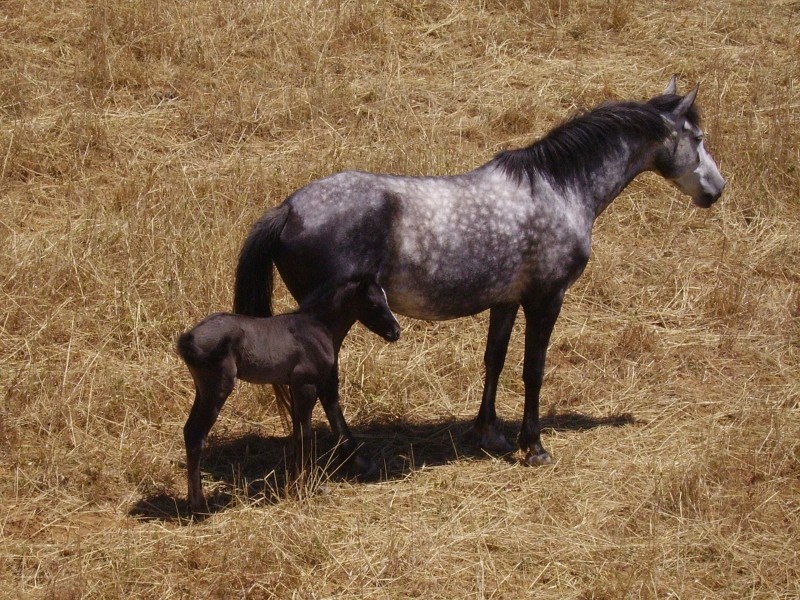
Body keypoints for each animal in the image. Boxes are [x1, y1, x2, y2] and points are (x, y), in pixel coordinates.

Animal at [177, 276, 396, 510]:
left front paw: (296, 485)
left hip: (202, 391)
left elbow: (298, 433)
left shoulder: (294, 386)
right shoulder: (306, 385)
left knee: (188, 430)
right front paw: (302, 488)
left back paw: (191, 501)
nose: (396, 331)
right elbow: (304, 435)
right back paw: (199, 505)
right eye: (373, 303)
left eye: (386, 299)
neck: (317, 327)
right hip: (218, 389)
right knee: (196, 435)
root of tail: (188, 338)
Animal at [231, 76, 724, 468]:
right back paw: (352, 455)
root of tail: (288, 209)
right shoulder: (546, 299)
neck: (558, 189)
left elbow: (494, 359)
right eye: (697, 137)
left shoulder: (506, 300)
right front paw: (534, 446)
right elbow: (533, 369)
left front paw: (489, 433)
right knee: (324, 384)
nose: (716, 190)